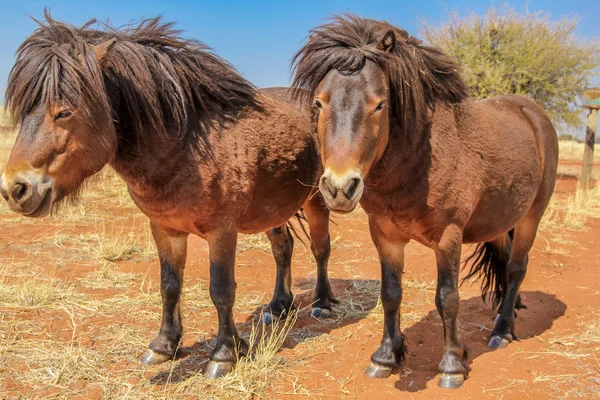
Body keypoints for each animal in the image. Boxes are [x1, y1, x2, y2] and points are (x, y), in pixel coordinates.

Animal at [0, 13, 338, 378]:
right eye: (23, 112)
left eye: (63, 112)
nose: (15, 189)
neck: (187, 147)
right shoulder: (164, 229)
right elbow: (170, 285)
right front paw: (164, 345)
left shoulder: (223, 231)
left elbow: (221, 290)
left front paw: (224, 354)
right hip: (274, 209)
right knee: (283, 249)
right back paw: (278, 307)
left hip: (317, 200)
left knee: (320, 249)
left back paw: (322, 303)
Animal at [290, 14, 556, 388]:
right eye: (318, 102)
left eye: (379, 104)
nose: (340, 187)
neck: (418, 160)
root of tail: (533, 113)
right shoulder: (384, 236)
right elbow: (391, 294)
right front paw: (386, 356)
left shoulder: (448, 238)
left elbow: (447, 299)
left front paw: (452, 365)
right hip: (499, 222)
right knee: (505, 264)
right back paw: (506, 311)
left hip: (532, 216)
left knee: (517, 268)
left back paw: (502, 331)